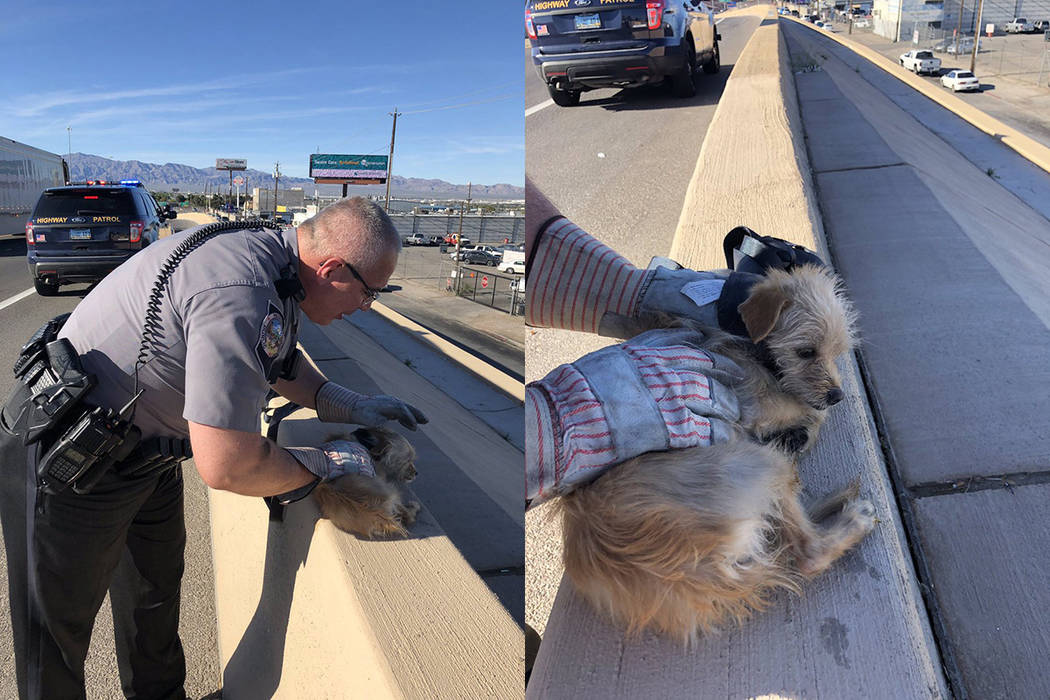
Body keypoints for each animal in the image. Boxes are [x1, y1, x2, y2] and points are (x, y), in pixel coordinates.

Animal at [558, 265, 877, 642]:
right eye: (805, 352)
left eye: (838, 350)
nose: (836, 395)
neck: (757, 352)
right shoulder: (762, 409)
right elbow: (811, 413)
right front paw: (808, 424)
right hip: (762, 460)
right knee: (807, 551)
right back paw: (853, 518)